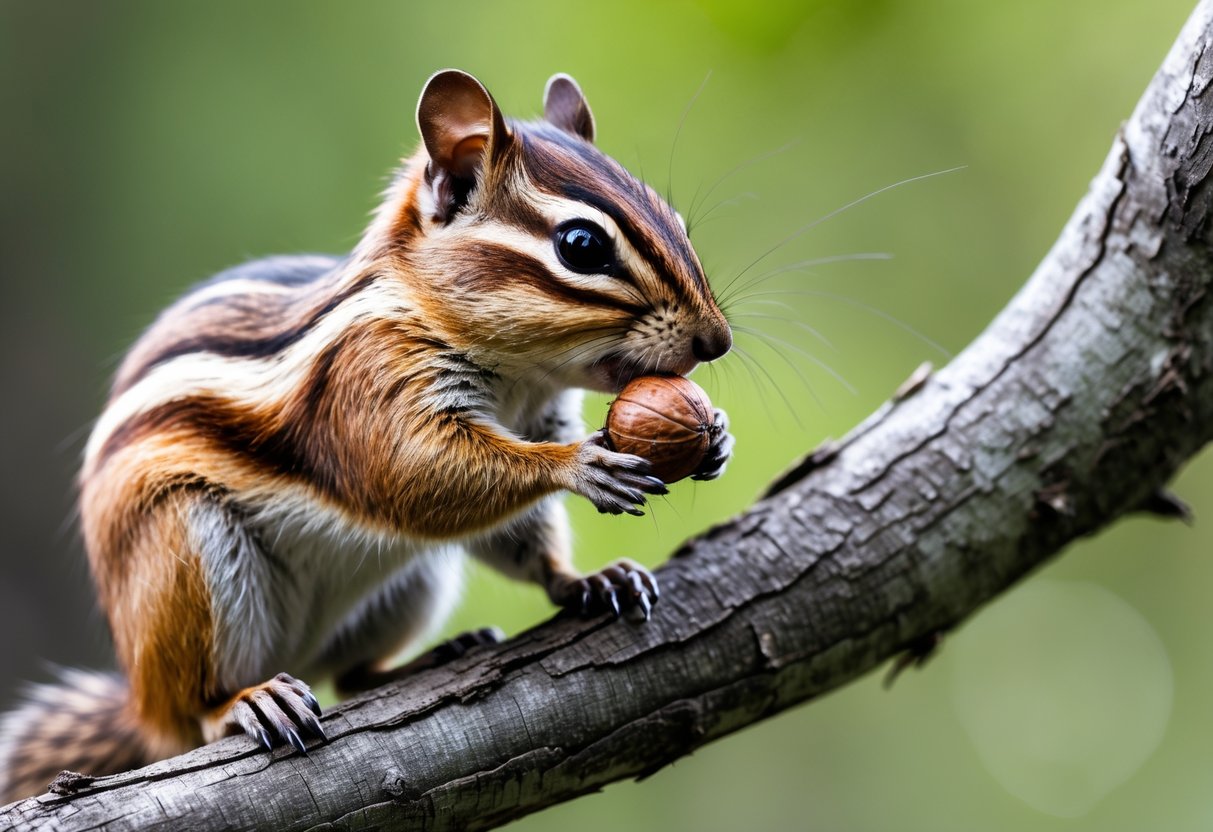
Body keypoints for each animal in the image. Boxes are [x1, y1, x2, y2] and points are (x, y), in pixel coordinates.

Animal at [0, 70, 734, 803]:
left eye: (676, 222)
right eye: (582, 246)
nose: (717, 341)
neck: (521, 376)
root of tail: (139, 700)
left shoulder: (539, 412)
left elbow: (522, 538)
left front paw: (592, 571)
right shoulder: (368, 382)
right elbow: (415, 473)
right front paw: (578, 465)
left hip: (413, 579)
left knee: (350, 676)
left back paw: (428, 658)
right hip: (186, 552)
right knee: (192, 715)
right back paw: (244, 701)